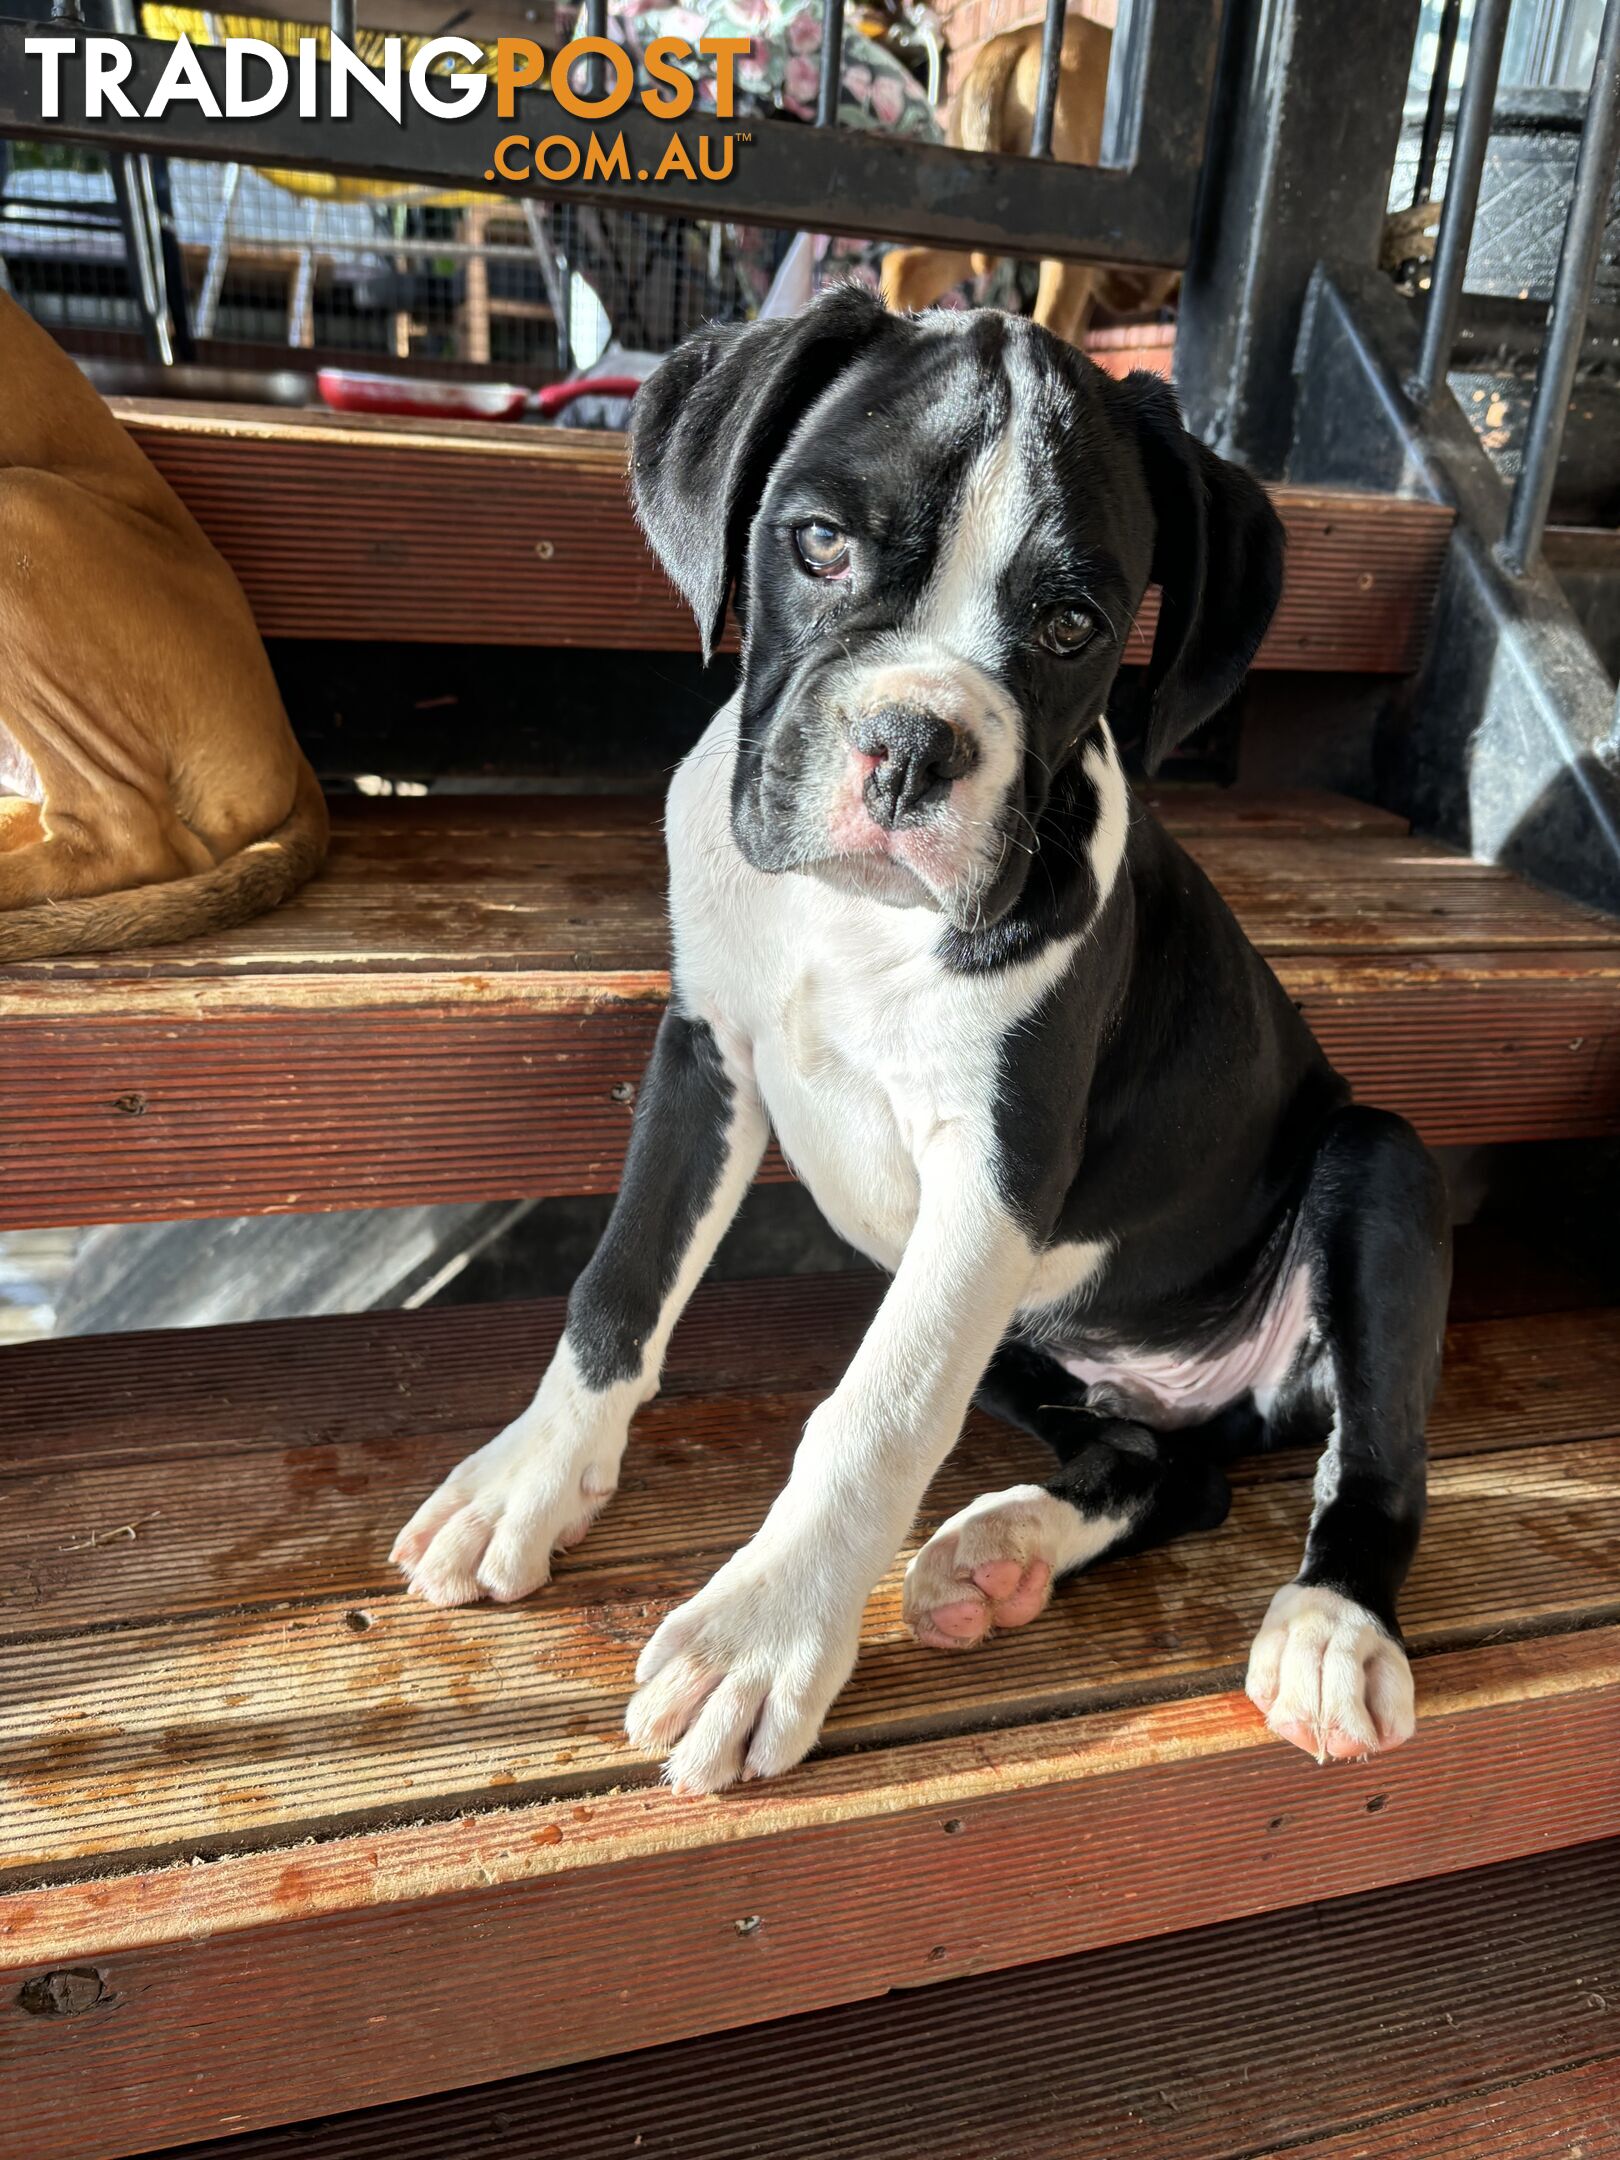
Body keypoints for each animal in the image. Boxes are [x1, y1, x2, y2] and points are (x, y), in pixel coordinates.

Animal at [397, 295, 1460, 1797]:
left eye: (1072, 624)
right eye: (818, 545)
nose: (910, 745)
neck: (851, 919)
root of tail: (1226, 1400)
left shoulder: (995, 1177)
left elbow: (876, 1413)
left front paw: (763, 1635)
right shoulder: (706, 1057)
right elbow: (620, 1284)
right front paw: (530, 1479)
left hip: (1375, 1163)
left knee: (1372, 1466)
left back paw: (1327, 1627)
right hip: (1027, 1333)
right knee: (1169, 1470)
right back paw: (1005, 1554)